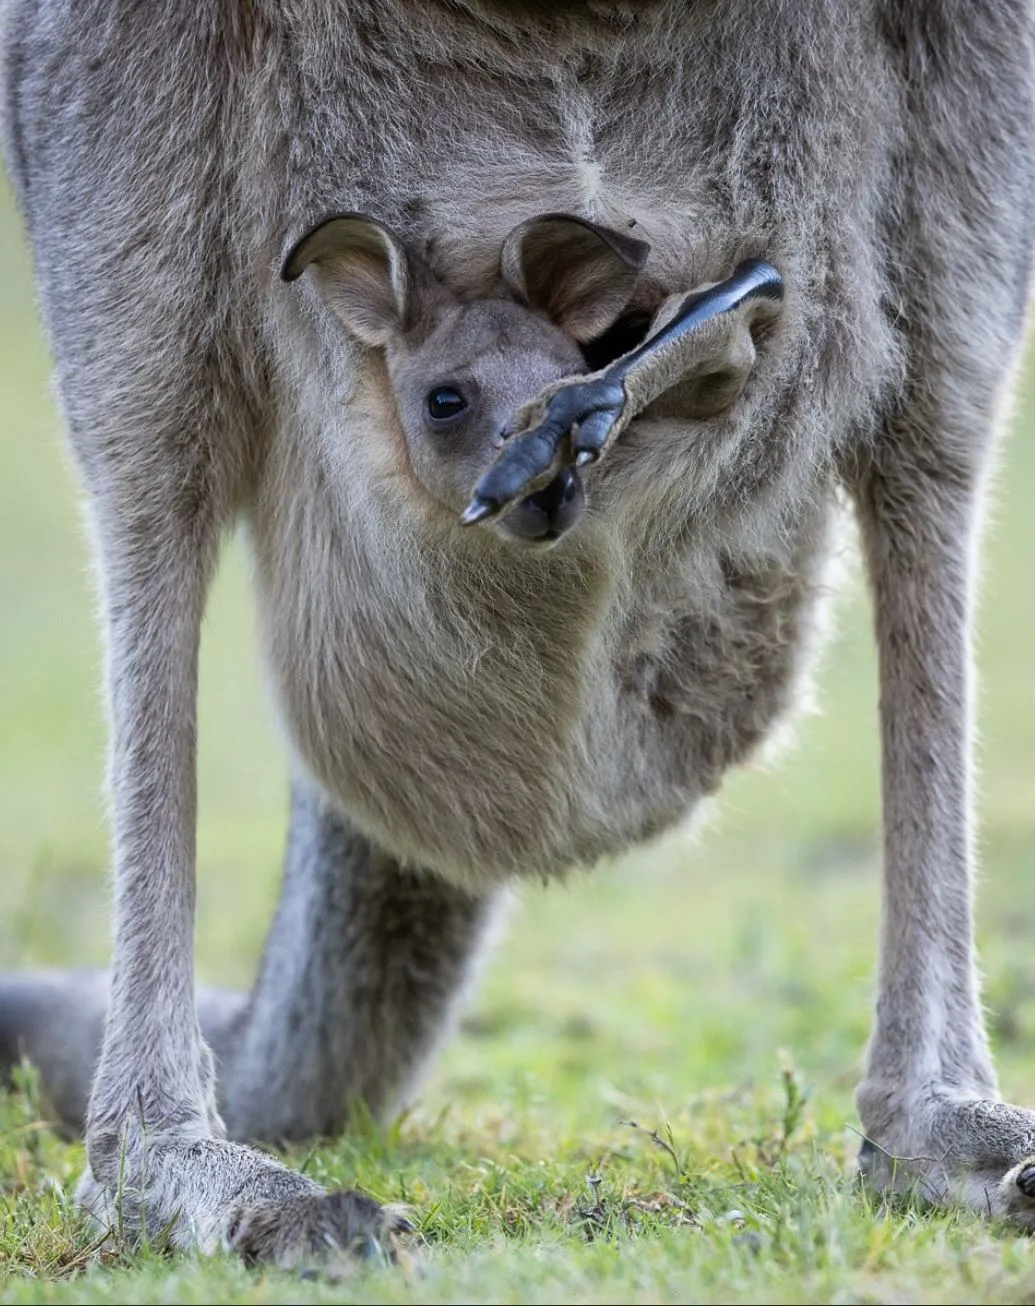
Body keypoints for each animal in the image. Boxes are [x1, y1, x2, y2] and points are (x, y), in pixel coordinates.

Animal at [2, 0, 1034, 1276]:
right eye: (444, 400)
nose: (543, 487)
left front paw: (628, 386)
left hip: (973, 105)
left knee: (930, 451)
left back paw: (956, 1135)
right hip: (103, 97)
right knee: (150, 482)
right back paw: (219, 1181)